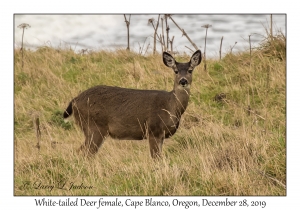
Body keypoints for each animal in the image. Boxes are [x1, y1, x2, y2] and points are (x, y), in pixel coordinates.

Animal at [63, 50, 202, 159]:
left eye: (190, 70)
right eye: (176, 71)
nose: (183, 81)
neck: (171, 107)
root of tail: (75, 100)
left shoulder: (160, 135)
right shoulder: (153, 130)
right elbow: (156, 158)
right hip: (94, 127)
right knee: (85, 153)